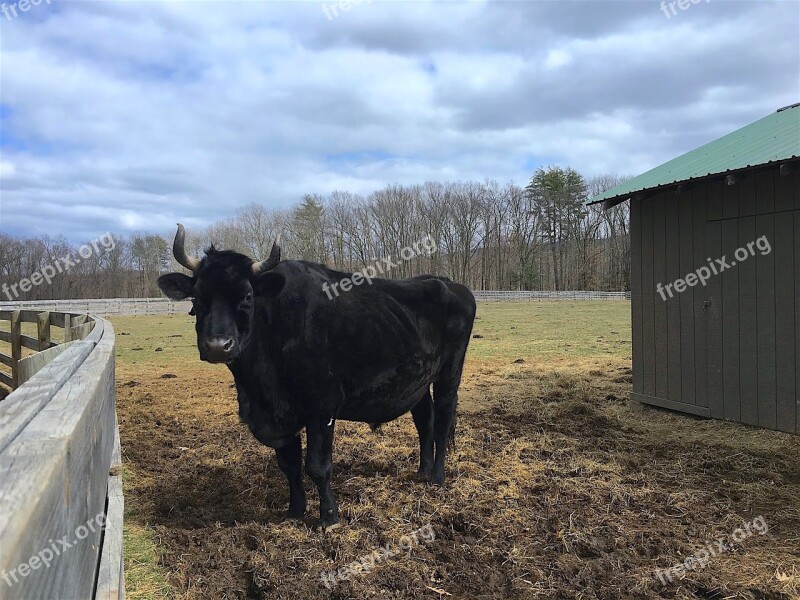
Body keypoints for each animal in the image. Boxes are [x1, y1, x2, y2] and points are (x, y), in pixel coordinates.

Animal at [159, 224, 478, 524]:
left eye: (248, 295)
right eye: (197, 296)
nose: (217, 346)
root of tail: (446, 282)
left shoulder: (322, 405)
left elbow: (317, 466)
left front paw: (329, 516)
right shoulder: (281, 415)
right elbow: (289, 466)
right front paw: (295, 510)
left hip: (449, 373)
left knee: (443, 420)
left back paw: (437, 477)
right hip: (417, 382)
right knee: (425, 421)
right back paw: (422, 472)